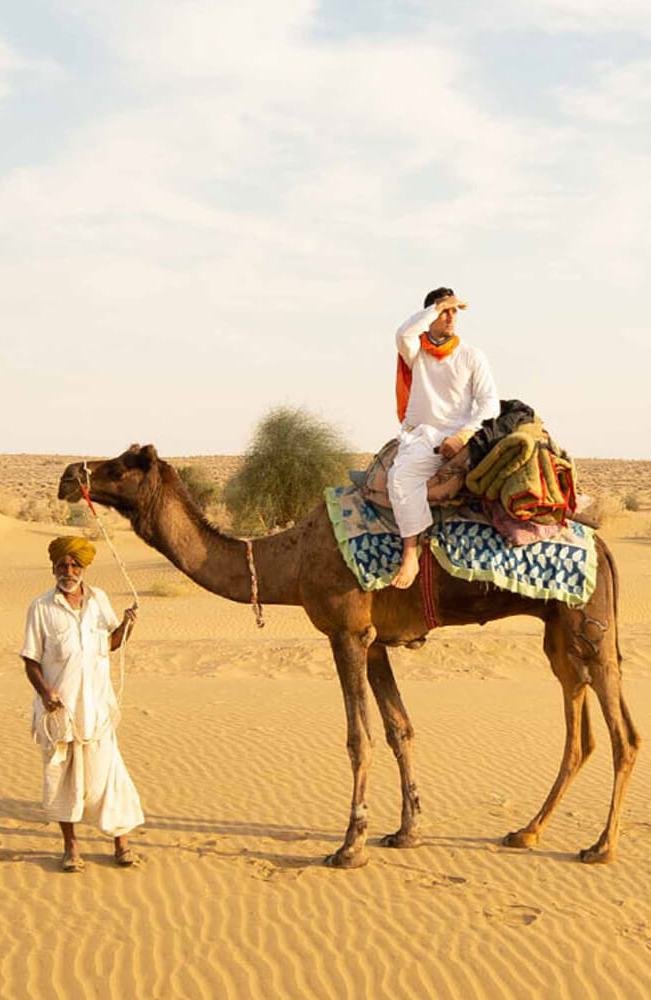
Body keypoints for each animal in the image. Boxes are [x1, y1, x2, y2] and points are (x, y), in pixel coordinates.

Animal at [58, 444, 640, 867]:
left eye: (119, 465)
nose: (68, 474)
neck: (289, 561)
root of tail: (604, 545)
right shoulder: (376, 639)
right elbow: (400, 729)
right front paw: (405, 833)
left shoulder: (346, 632)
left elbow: (359, 738)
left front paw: (350, 846)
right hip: (561, 635)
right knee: (579, 732)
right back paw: (526, 832)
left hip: (589, 628)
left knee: (623, 736)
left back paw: (600, 847)